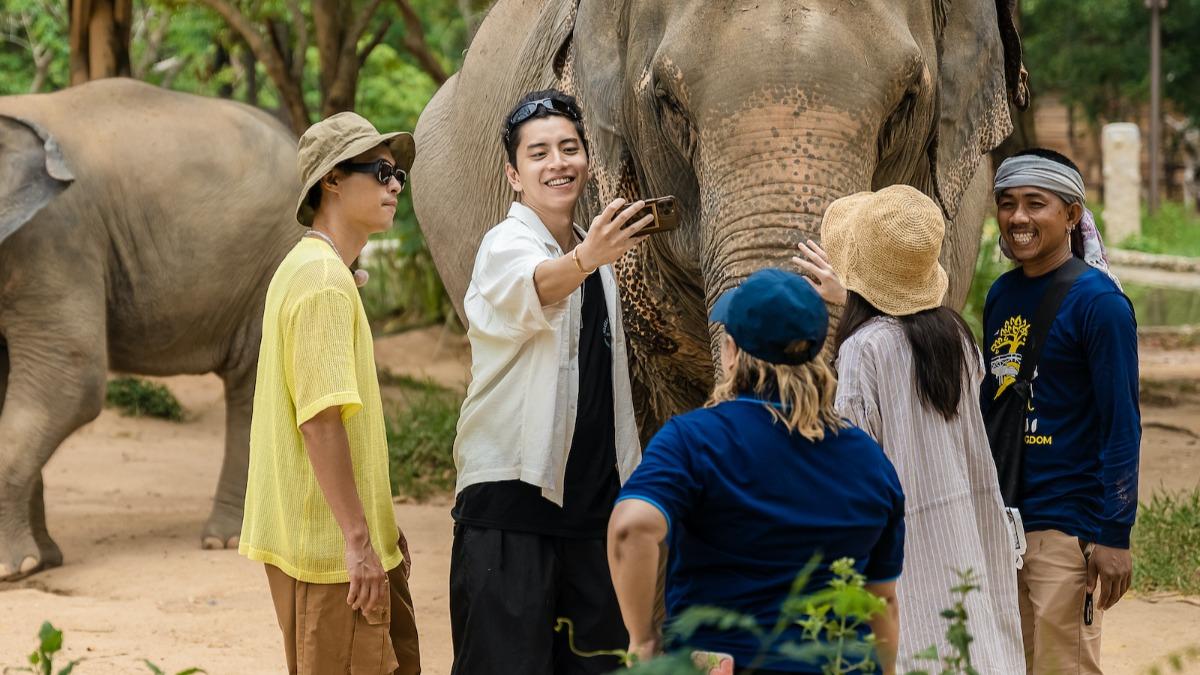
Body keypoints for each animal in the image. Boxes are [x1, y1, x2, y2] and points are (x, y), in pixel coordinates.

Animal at [0, 78, 303, 580]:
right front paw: (41, 562)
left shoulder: (56, 238)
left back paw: (226, 541)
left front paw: (10, 570)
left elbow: (71, 379)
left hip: (280, 256)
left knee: (254, 380)